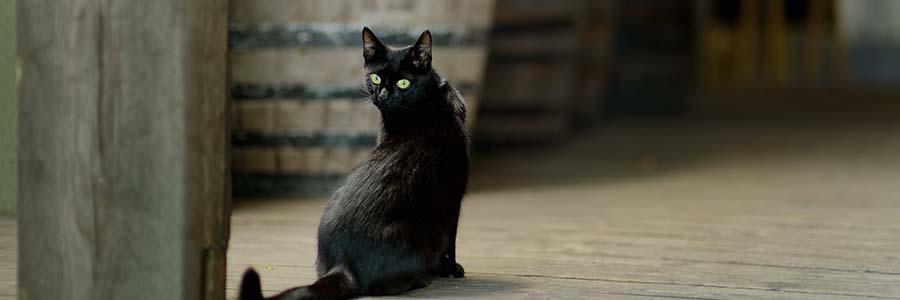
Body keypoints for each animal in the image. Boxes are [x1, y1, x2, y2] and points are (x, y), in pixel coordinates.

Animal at [239, 27, 468, 298]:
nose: (382, 95)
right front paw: (451, 269)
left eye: (403, 82)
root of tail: (345, 265)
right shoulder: (453, 197)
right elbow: (452, 240)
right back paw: (423, 277)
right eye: (376, 78)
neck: (429, 101)